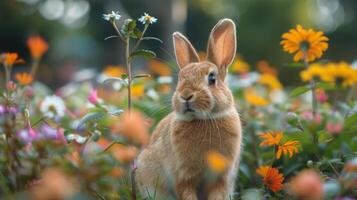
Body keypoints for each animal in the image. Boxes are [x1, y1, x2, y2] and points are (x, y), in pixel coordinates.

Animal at [136, 18, 242, 200]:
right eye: (180, 78)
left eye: (212, 78)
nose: (185, 96)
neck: (203, 120)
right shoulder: (183, 177)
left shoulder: (221, 179)